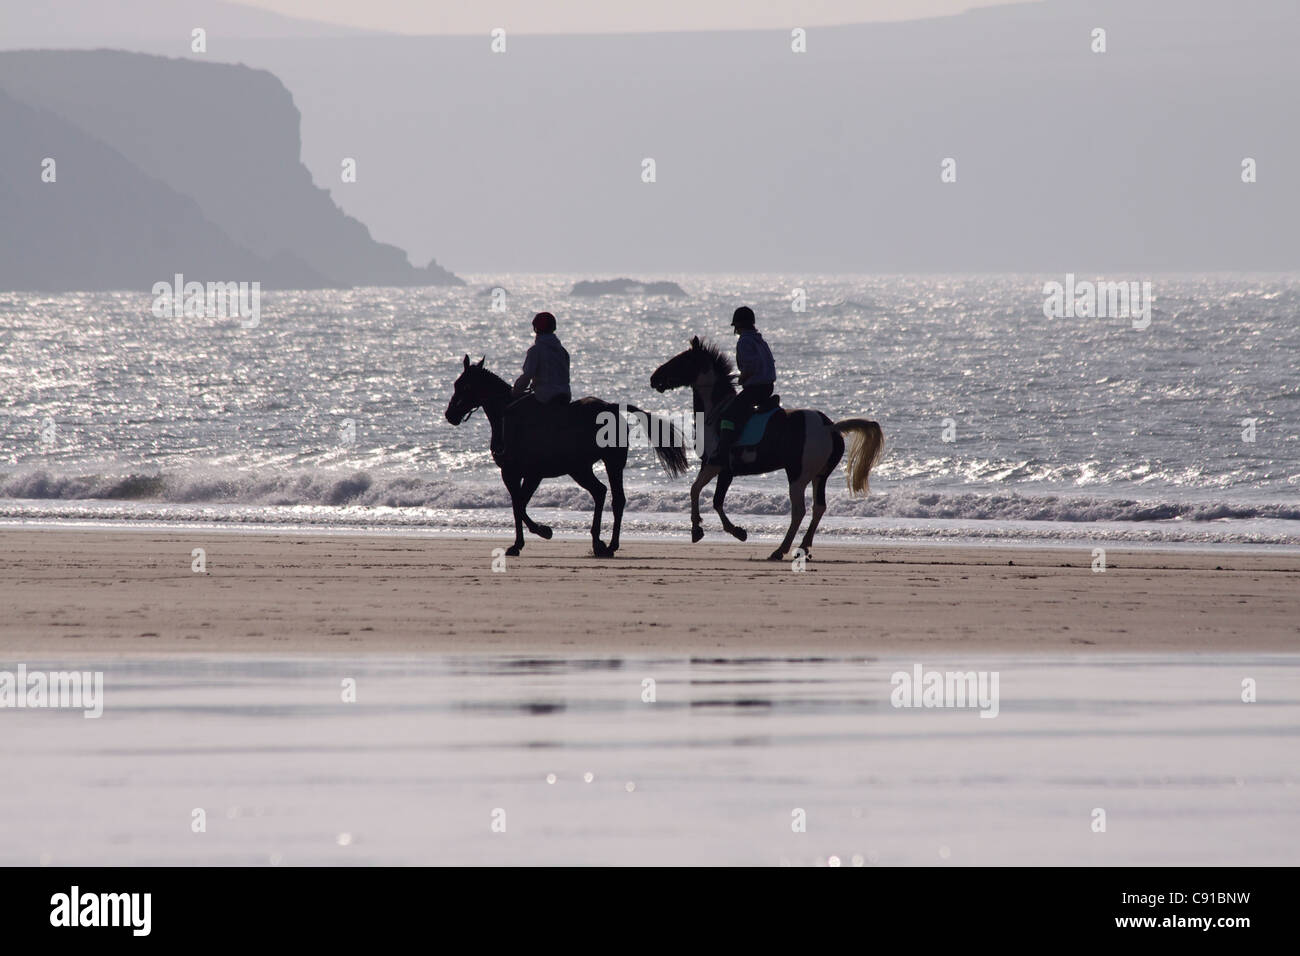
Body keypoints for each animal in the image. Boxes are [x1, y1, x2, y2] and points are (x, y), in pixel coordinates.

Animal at [445, 355, 689, 557]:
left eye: (464, 386)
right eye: (456, 384)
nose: (449, 415)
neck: (506, 415)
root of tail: (611, 407)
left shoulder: (521, 474)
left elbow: (519, 505)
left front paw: (540, 532)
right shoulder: (520, 474)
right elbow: (518, 505)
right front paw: (521, 542)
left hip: (597, 465)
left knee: (610, 496)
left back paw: (605, 544)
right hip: (587, 467)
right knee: (605, 494)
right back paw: (602, 544)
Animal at [650, 337, 884, 561]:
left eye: (682, 360)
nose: (654, 378)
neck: (715, 412)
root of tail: (830, 427)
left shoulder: (717, 465)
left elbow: (702, 493)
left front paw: (717, 530)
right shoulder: (720, 469)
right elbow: (706, 496)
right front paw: (706, 528)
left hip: (798, 476)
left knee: (799, 511)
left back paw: (780, 550)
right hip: (820, 476)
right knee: (818, 508)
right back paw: (803, 546)